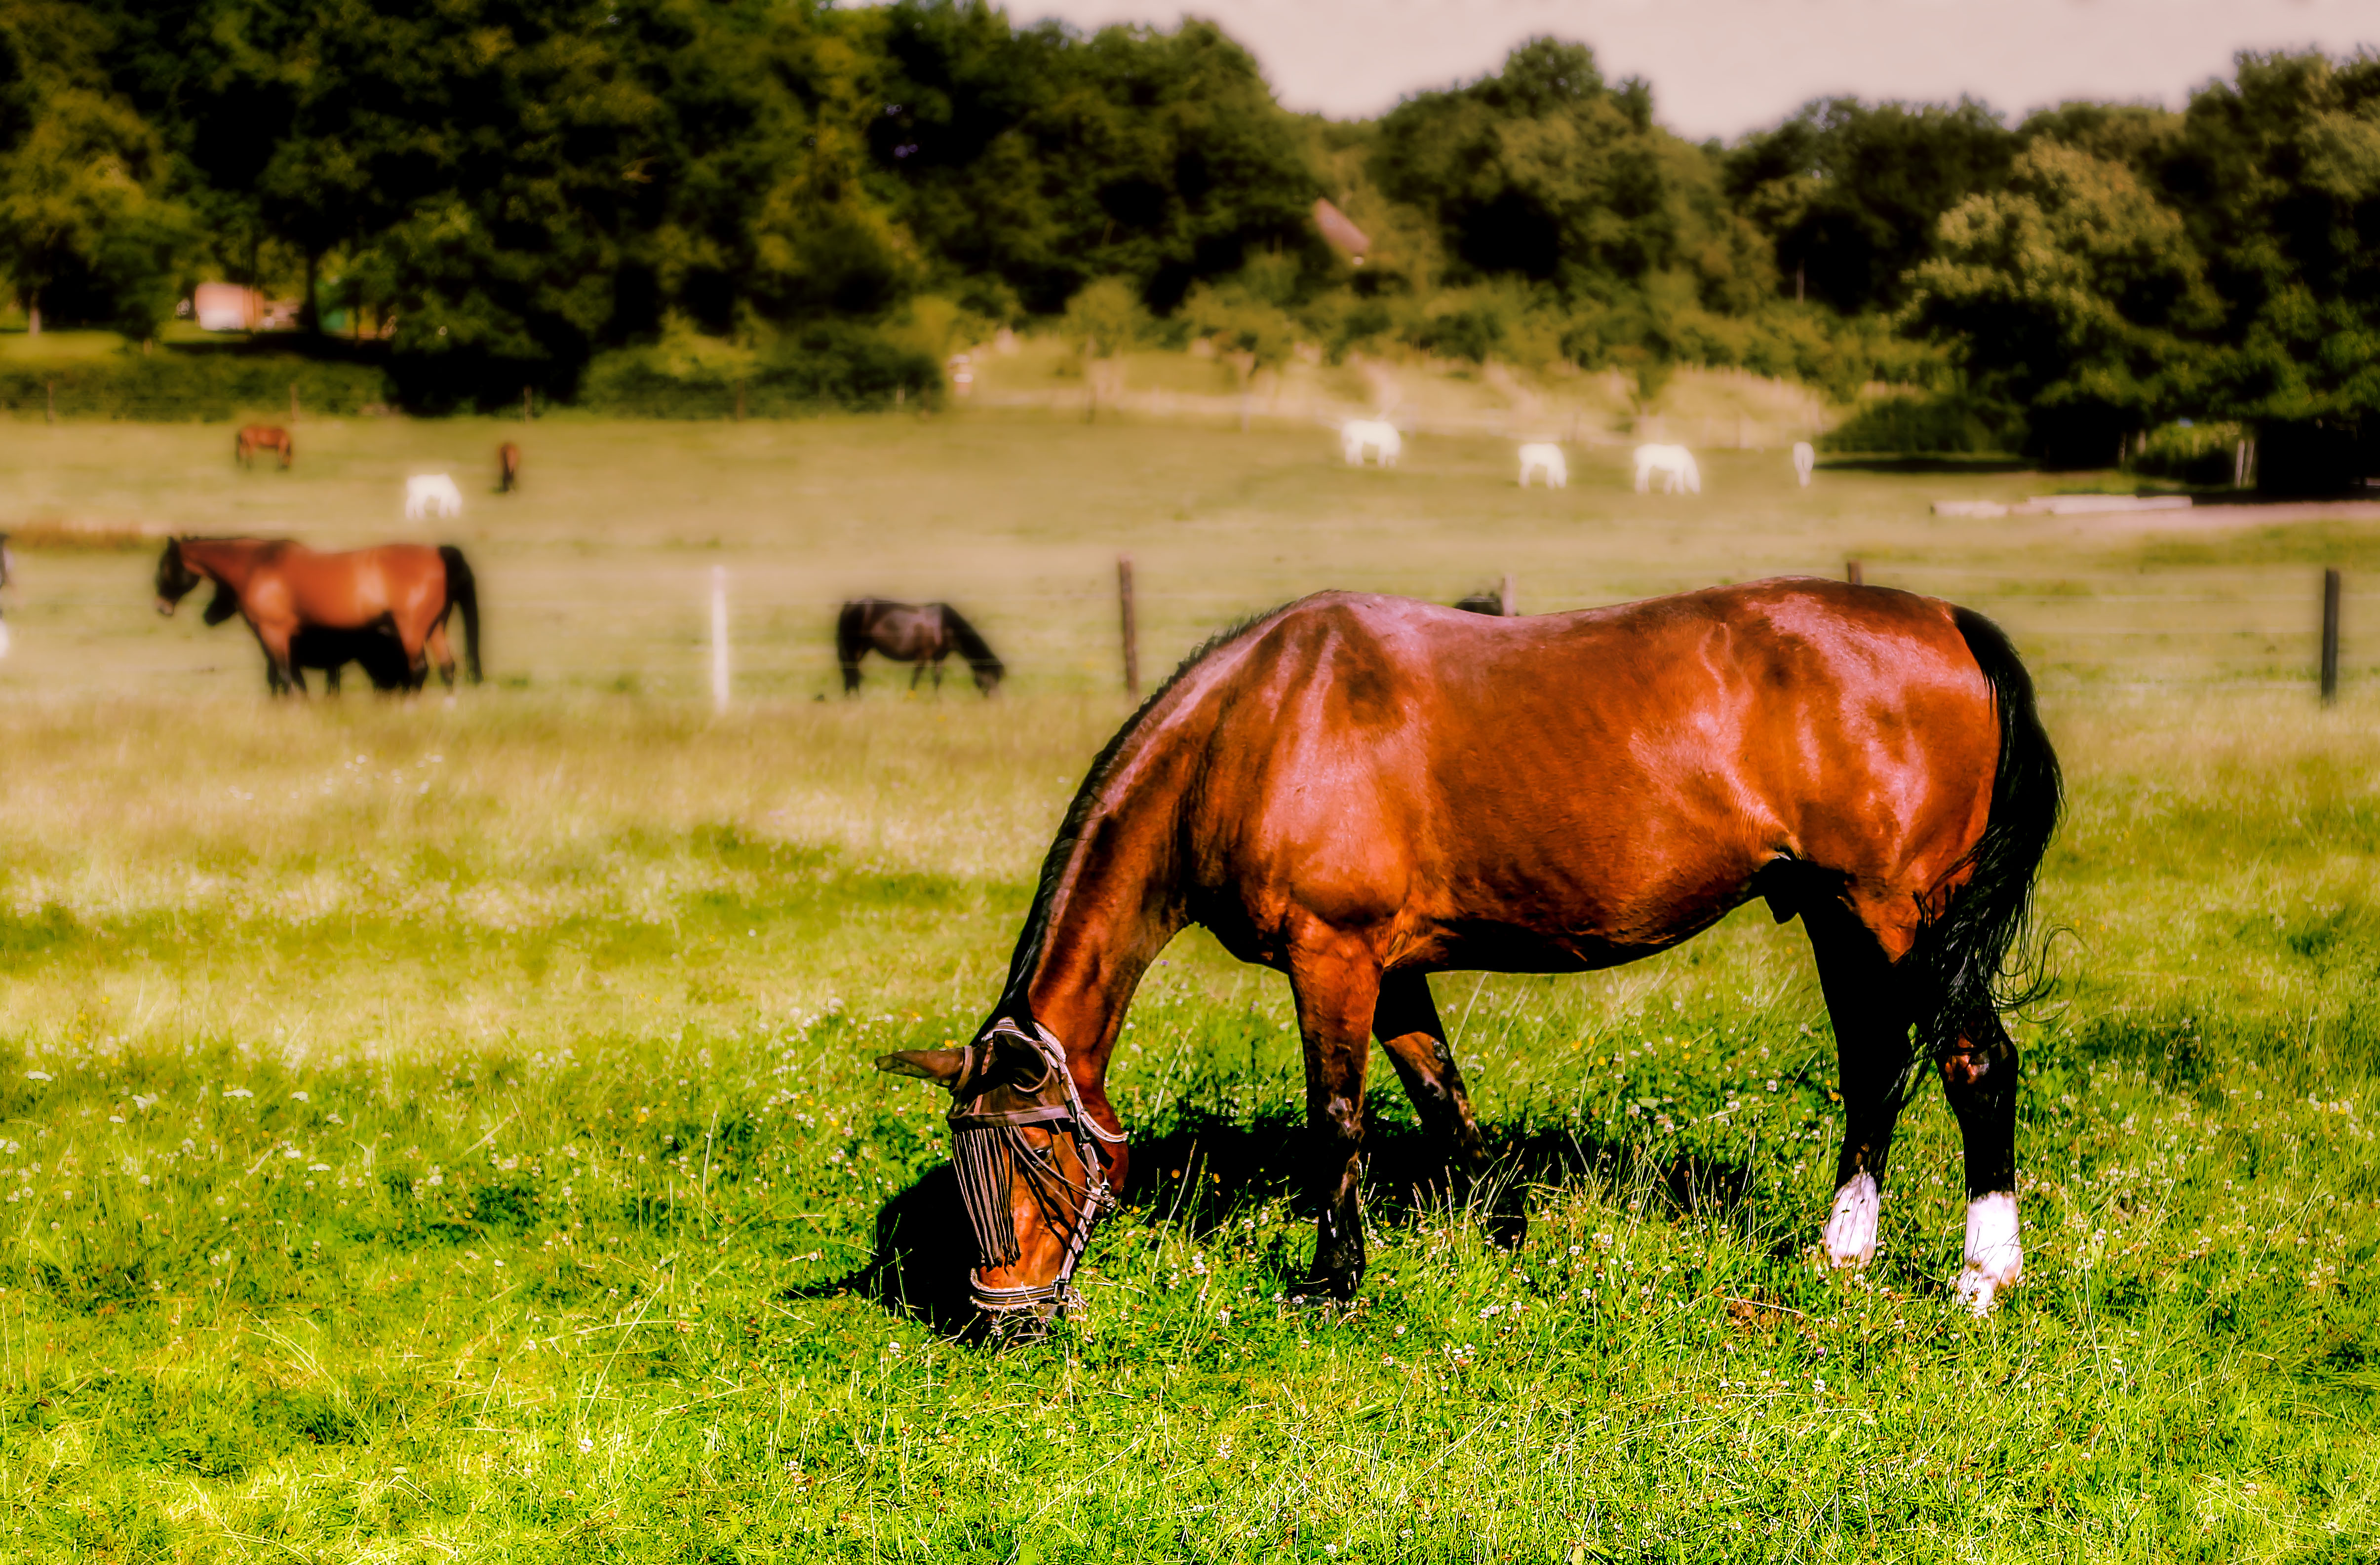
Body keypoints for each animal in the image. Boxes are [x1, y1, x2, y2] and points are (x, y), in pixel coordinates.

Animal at [155, 537, 482, 695]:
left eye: (165, 568)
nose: (161, 606)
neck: (259, 565)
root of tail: (438, 553)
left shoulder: (274, 633)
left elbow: (285, 676)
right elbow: (283, 678)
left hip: (412, 630)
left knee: (419, 670)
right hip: (435, 627)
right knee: (448, 667)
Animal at [837, 599, 1003, 695]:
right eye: (992, 677)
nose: (996, 701)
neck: (943, 625)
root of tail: (849, 605)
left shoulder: (939, 657)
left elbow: (937, 680)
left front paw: (938, 703)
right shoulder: (923, 655)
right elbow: (916, 678)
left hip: (861, 648)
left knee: (852, 674)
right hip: (855, 648)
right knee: (852, 673)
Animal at [877, 582, 2060, 1337]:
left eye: (1036, 1151)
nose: (1002, 1315)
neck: (1258, 725)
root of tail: (1949, 623)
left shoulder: (1333, 956)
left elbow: (1339, 1118)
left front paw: (1332, 1280)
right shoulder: (1390, 967)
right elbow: (1441, 1096)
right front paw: (1507, 1230)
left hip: (1899, 911)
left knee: (1974, 1062)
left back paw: (1980, 1276)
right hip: (1833, 911)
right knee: (1873, 1065)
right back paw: (1838, 1251)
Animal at [1634, 443, 1700, 494]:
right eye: (1696, 481)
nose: (1698, 492)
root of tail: (1637, 451)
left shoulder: (1673, 471)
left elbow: (1670, 480)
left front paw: (1667, 491)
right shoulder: (1679, 470)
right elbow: (1679, 480)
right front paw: (1682, 492)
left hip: (1648, 467)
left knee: (1645, 477)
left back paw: (1646, 490)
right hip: (1644, 466)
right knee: (1639, 475)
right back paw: (1639, 490)